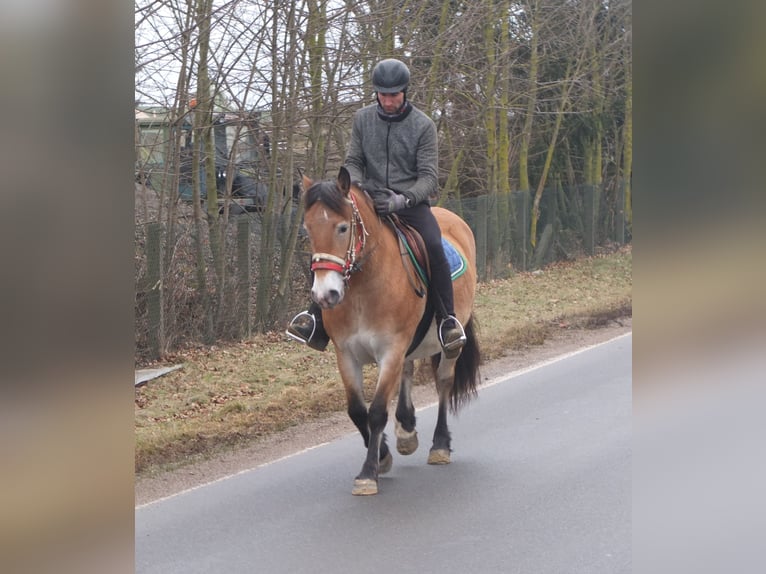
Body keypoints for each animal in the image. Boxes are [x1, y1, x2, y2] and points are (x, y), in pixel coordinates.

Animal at [300, 166, 480, 496]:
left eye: (342, 228)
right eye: (307, 229)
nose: (325, 295)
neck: (363, 288)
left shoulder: (391, 349)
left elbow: (376, 411)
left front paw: (368, 473)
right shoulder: (346, 354)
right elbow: (357, 410)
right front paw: (382, 456)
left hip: (449, 344)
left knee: (443, 382)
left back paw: (439, 445)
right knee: (408, 371)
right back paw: (406, 429)